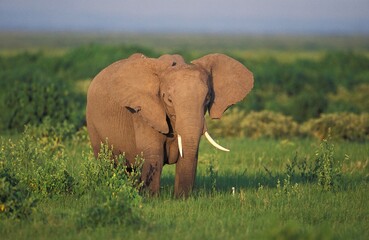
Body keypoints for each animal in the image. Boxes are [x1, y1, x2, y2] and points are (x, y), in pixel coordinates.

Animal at [86, 52, 253, 197]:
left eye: (207, 98)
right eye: (169, 100)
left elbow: (188, 156)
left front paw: (182, 199)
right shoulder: (143, 112)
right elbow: (154, 155)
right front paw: (151, 199)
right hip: (92, 122)